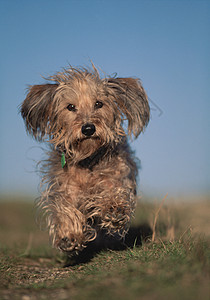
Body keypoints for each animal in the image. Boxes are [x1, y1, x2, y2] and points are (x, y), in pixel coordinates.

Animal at [20, 64, 150, 254]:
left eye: (99, 104)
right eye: (70, 106)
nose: (88, 128)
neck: (87, 160)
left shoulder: (116, 175)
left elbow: (114, 191)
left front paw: (114, 210)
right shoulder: (65, 188)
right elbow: (65, 208)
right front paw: (69, 236)